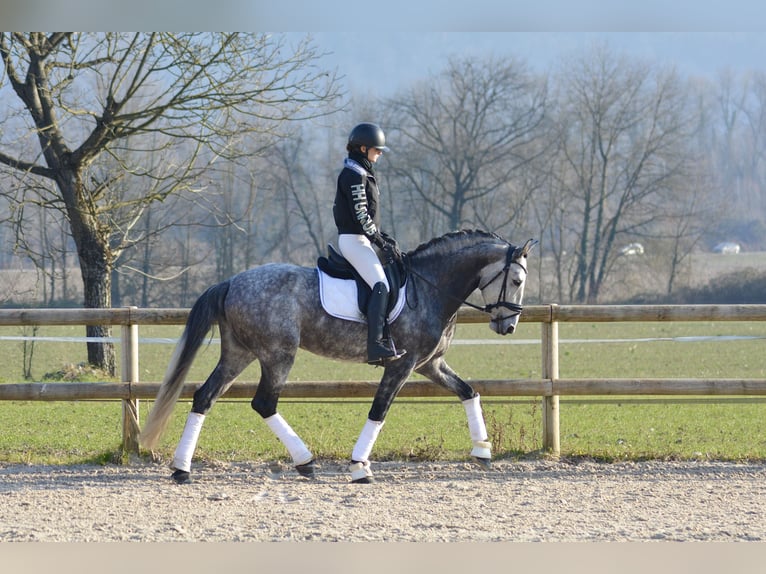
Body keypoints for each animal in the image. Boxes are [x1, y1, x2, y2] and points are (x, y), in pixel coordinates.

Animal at [140, 230, 536, 486]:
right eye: (517, 280)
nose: (508, 326)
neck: (430, 288)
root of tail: (231, 282)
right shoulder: (402, 364)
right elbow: (379, 410)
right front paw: (360, 467)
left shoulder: (429, 364)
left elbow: (469, 391)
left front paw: (482, 451)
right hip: (278, 354)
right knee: (264, 403)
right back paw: (305, 462)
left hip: (240, 353)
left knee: (205, 396)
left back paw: (182, 469)